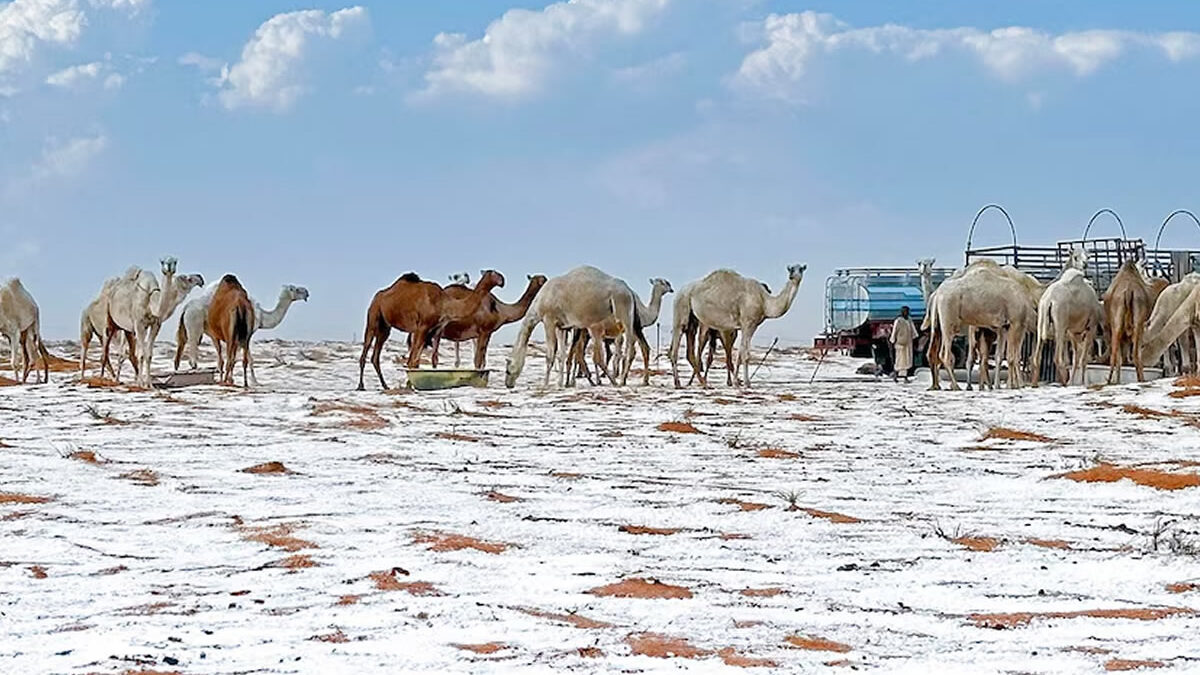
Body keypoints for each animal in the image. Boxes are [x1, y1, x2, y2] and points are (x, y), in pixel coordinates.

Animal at [97, 255, 204, 386]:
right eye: (162, 262)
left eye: (175, 262)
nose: (200, 278)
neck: (151, 302)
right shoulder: (139, 324)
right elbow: (142, 354)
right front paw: (142, 384)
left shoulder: (155, 324)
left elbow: (148, 355)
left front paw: (148, 384)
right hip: (109, 321)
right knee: (107, 351)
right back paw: (104, 379)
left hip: (126, 329)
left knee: (124, 353)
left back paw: (119, 379)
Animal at [176, 281, 312, 384]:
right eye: (295, 289)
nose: (307, 292)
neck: (262, 316)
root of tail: (186, 308)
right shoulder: (246, 334)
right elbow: (248, 359)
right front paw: (254, 381)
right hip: (195, 324)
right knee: (193, 347)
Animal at [355, 267, 506, 389]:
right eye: (496, 274)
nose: (503, 280)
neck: (443, 303)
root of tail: (377, 296)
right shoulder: (422, 327)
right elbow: (412, 360)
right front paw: (410, 386)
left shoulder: (433, 330)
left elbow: (419, 360)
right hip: (373, 317)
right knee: (366, 349)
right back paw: (361, 386)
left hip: (385, 327)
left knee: (375, 356)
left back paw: (385, 385)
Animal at [504, 264, 638, 386]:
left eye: (508, 370)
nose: (508, 384)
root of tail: (629, 290)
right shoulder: (561, 326)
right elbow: (561, 355)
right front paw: (560, 383)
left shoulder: (549, 320)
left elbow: (550, 355)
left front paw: (545, 384)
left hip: (623, 309)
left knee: (628, 348)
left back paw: (619, 381)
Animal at [676, 264, 806, 386]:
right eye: (791, 269)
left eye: (800, 269)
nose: (792, 276)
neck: (765, 301)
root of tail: (682, 289)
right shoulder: (748, 323)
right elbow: (745, 354)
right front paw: (746, 382)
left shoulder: (748, 326)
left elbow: (739, 353)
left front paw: (736, 381)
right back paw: (693, 381)